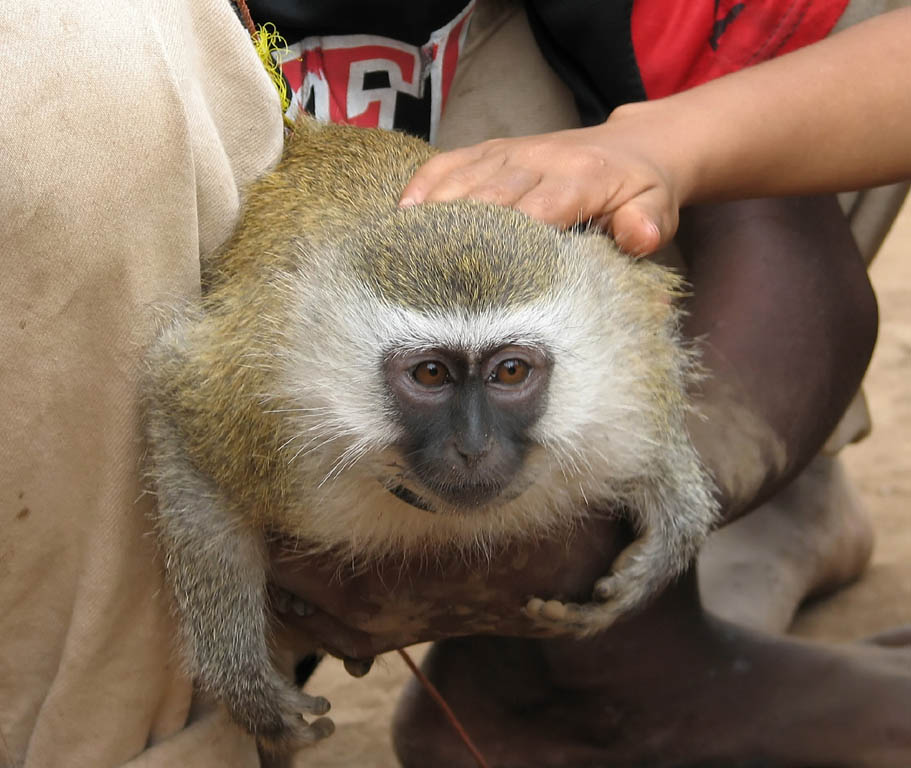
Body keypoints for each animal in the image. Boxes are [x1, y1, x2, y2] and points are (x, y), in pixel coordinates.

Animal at [144, 117, 720, 752]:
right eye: (430, 374)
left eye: (509, 371)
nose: (472, 447)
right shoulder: (255, 394)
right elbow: (186, 440)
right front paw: (243, 679)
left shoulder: (621, 379)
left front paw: (670, 536)